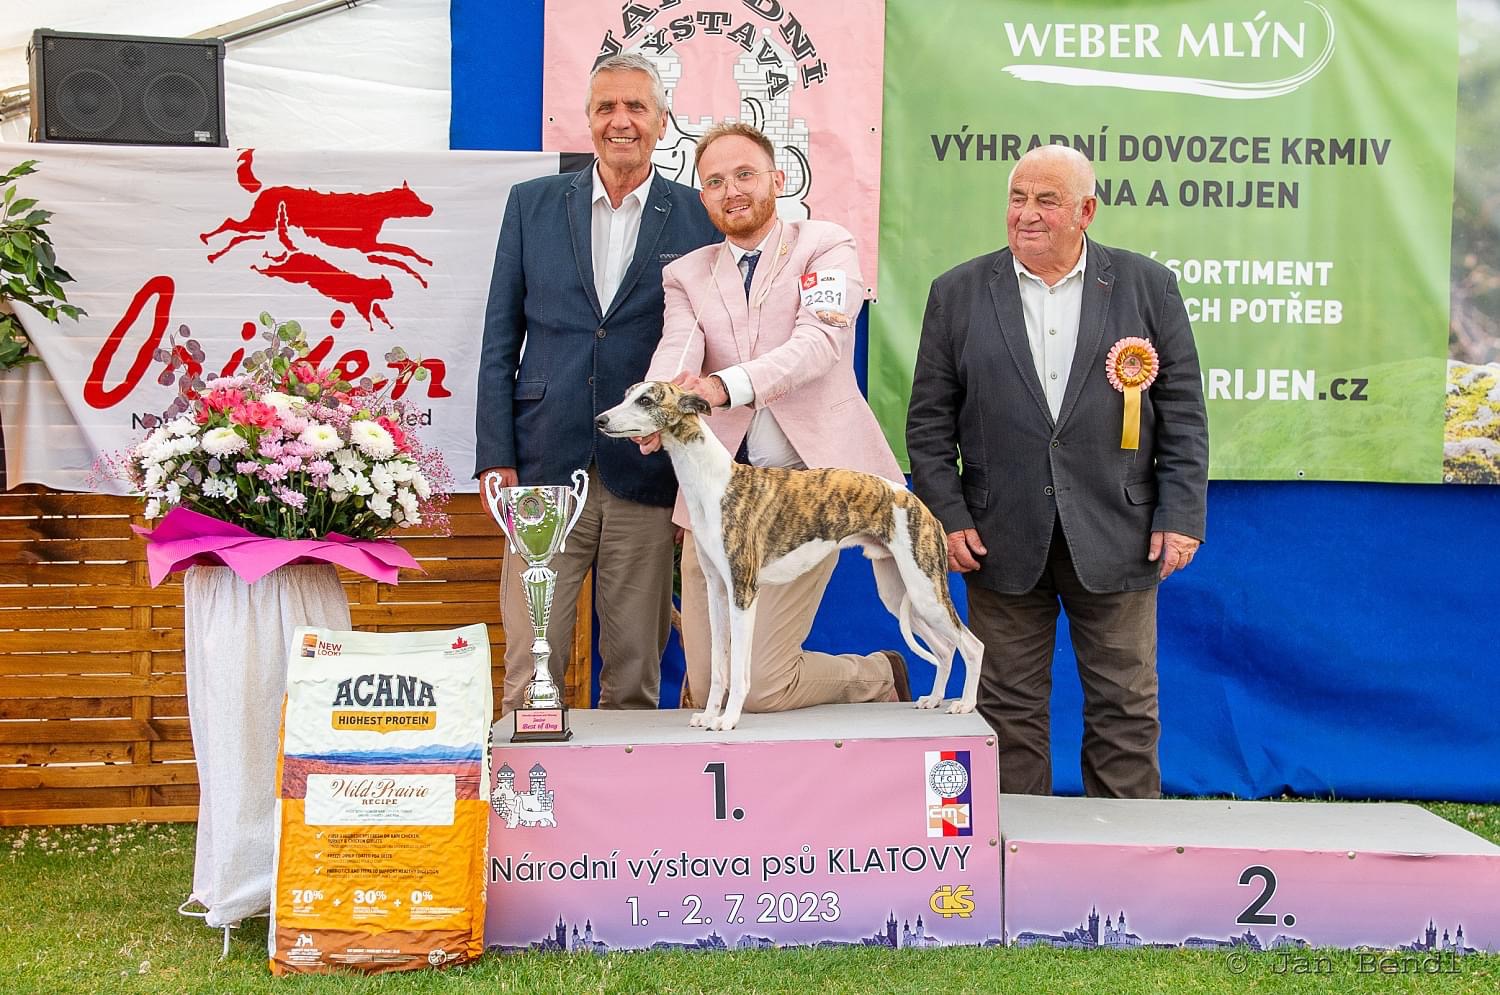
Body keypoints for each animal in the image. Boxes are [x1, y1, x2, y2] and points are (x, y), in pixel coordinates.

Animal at [597, 381, 982, 731]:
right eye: (627, 395)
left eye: (646, 400)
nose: (600, 419)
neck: (714, 483)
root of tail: (916, 500)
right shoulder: (716, 591)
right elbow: (719, 667)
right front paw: (708, 715)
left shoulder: (743, 593)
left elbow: (739, 670)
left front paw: (728, 720)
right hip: (901, 591)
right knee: (945, 648)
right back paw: (933, 698)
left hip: (925, 589)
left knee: (971, 645)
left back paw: (964, 704)